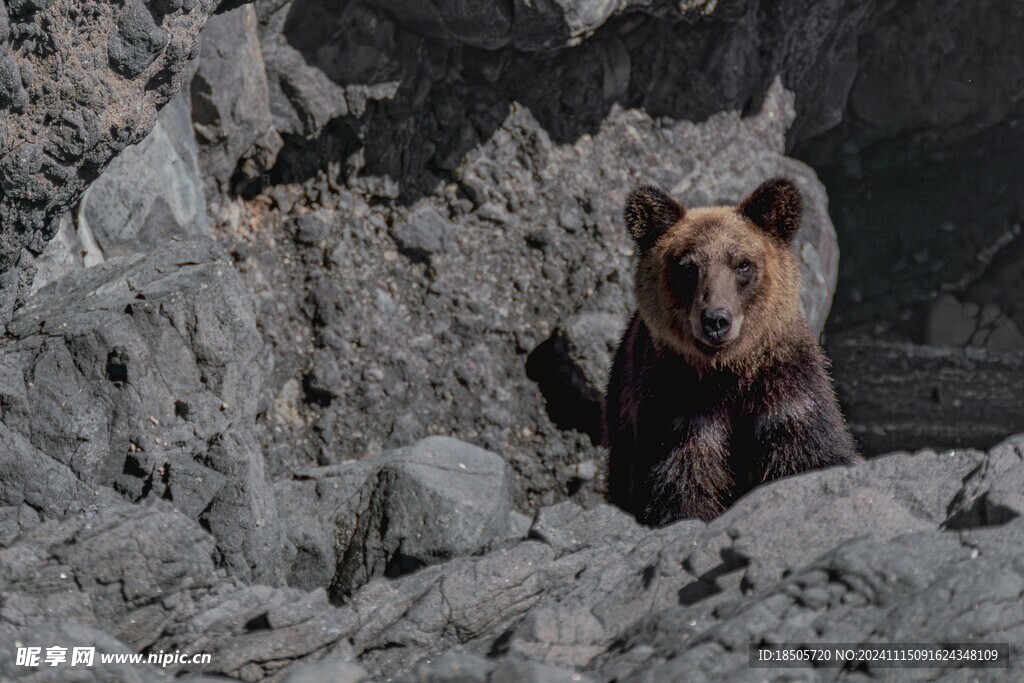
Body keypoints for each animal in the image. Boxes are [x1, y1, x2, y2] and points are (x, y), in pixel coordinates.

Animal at [602, 178, 860, 528]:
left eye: (742, 264)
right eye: (687, 267)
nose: (715, 320)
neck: (729, 371)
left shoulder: (785, 389)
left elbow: (808, 452)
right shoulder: (677, 409)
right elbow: (681, 481)